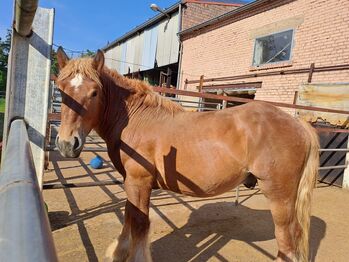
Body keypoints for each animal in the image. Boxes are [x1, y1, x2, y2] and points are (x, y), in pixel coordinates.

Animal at [55, 48, 318, 262]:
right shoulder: (132, 183)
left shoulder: (139, 182)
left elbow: (139, 223)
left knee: (286, 238)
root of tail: (298, 123)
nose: (67, 144)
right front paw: (118, 253)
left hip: (279, 195)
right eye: (61, 90)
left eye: (94, 92)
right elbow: (130, 216)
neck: (136, 119)